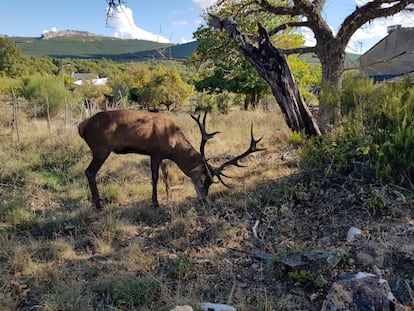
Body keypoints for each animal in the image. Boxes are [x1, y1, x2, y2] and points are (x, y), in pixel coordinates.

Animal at [78, 109, 266, 210]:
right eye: (202, 179)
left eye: (211, 183)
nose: (204, 200)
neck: (173, 143)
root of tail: (81, 126)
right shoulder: (154, 152)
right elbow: (154, 177)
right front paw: (155, 202)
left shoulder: (163, 156)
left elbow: (165, 175)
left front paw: (169, 197)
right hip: (101, 148)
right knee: (89, 172)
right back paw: (99, 205)